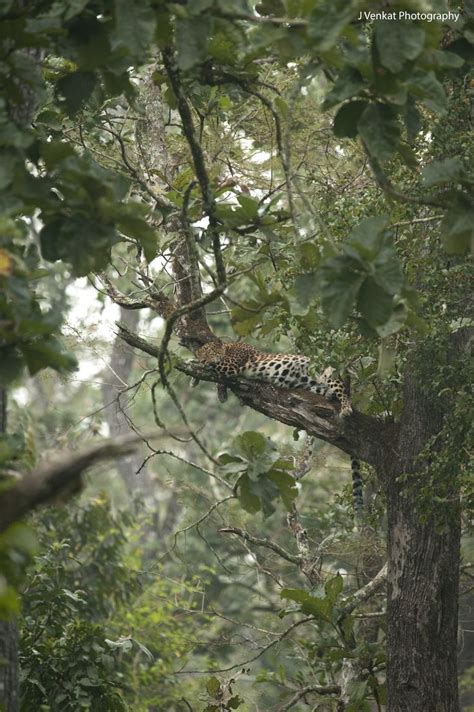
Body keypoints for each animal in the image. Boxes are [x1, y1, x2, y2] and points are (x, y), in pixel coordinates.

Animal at [195, 340, 362, 512]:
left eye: (207, 352)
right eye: (200, 353)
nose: (202, 360)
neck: (228, 348)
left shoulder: (231, 364)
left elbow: (215, 366)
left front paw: (195, 368)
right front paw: (219, 393)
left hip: (327, 373)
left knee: (342, 389)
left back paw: (346, 408)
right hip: (314, 385)